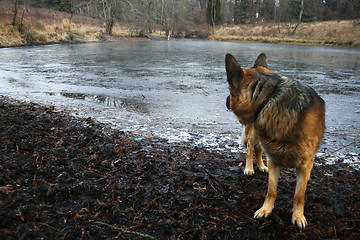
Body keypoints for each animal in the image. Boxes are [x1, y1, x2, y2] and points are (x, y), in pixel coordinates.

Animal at [225, 53, 324, 229]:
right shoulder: (274, 160)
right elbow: (271, 190)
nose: (226, 100)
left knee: (258, 150)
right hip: (255, 135)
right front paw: (266, 210)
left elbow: (299, 195)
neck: (270, 97)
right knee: (251, 150)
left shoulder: (306, 165)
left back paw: (260, 166)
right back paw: (249, 168)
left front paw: (298, 216)